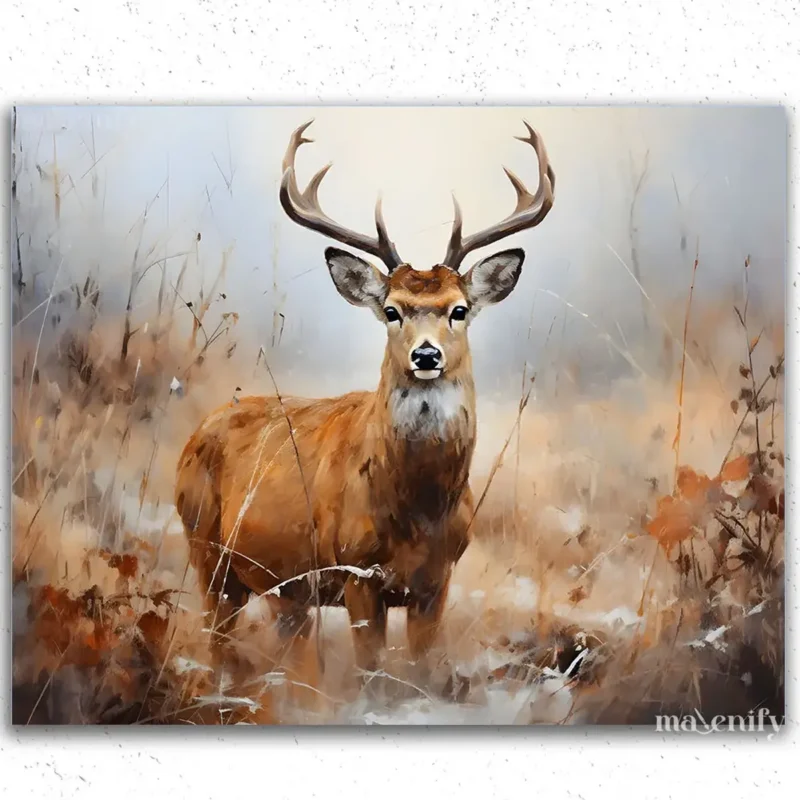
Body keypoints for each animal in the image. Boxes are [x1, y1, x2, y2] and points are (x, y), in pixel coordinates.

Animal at [175, 119, 555, 682]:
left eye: (459, 309)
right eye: (392, 311)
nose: (426, 355)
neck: (418, 511)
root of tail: (197, 433)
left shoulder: (437, 580)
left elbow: (422, 668)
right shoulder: (357, 572)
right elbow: (369, 673)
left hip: (283, 587)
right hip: (206, 550)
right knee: (218, 643)